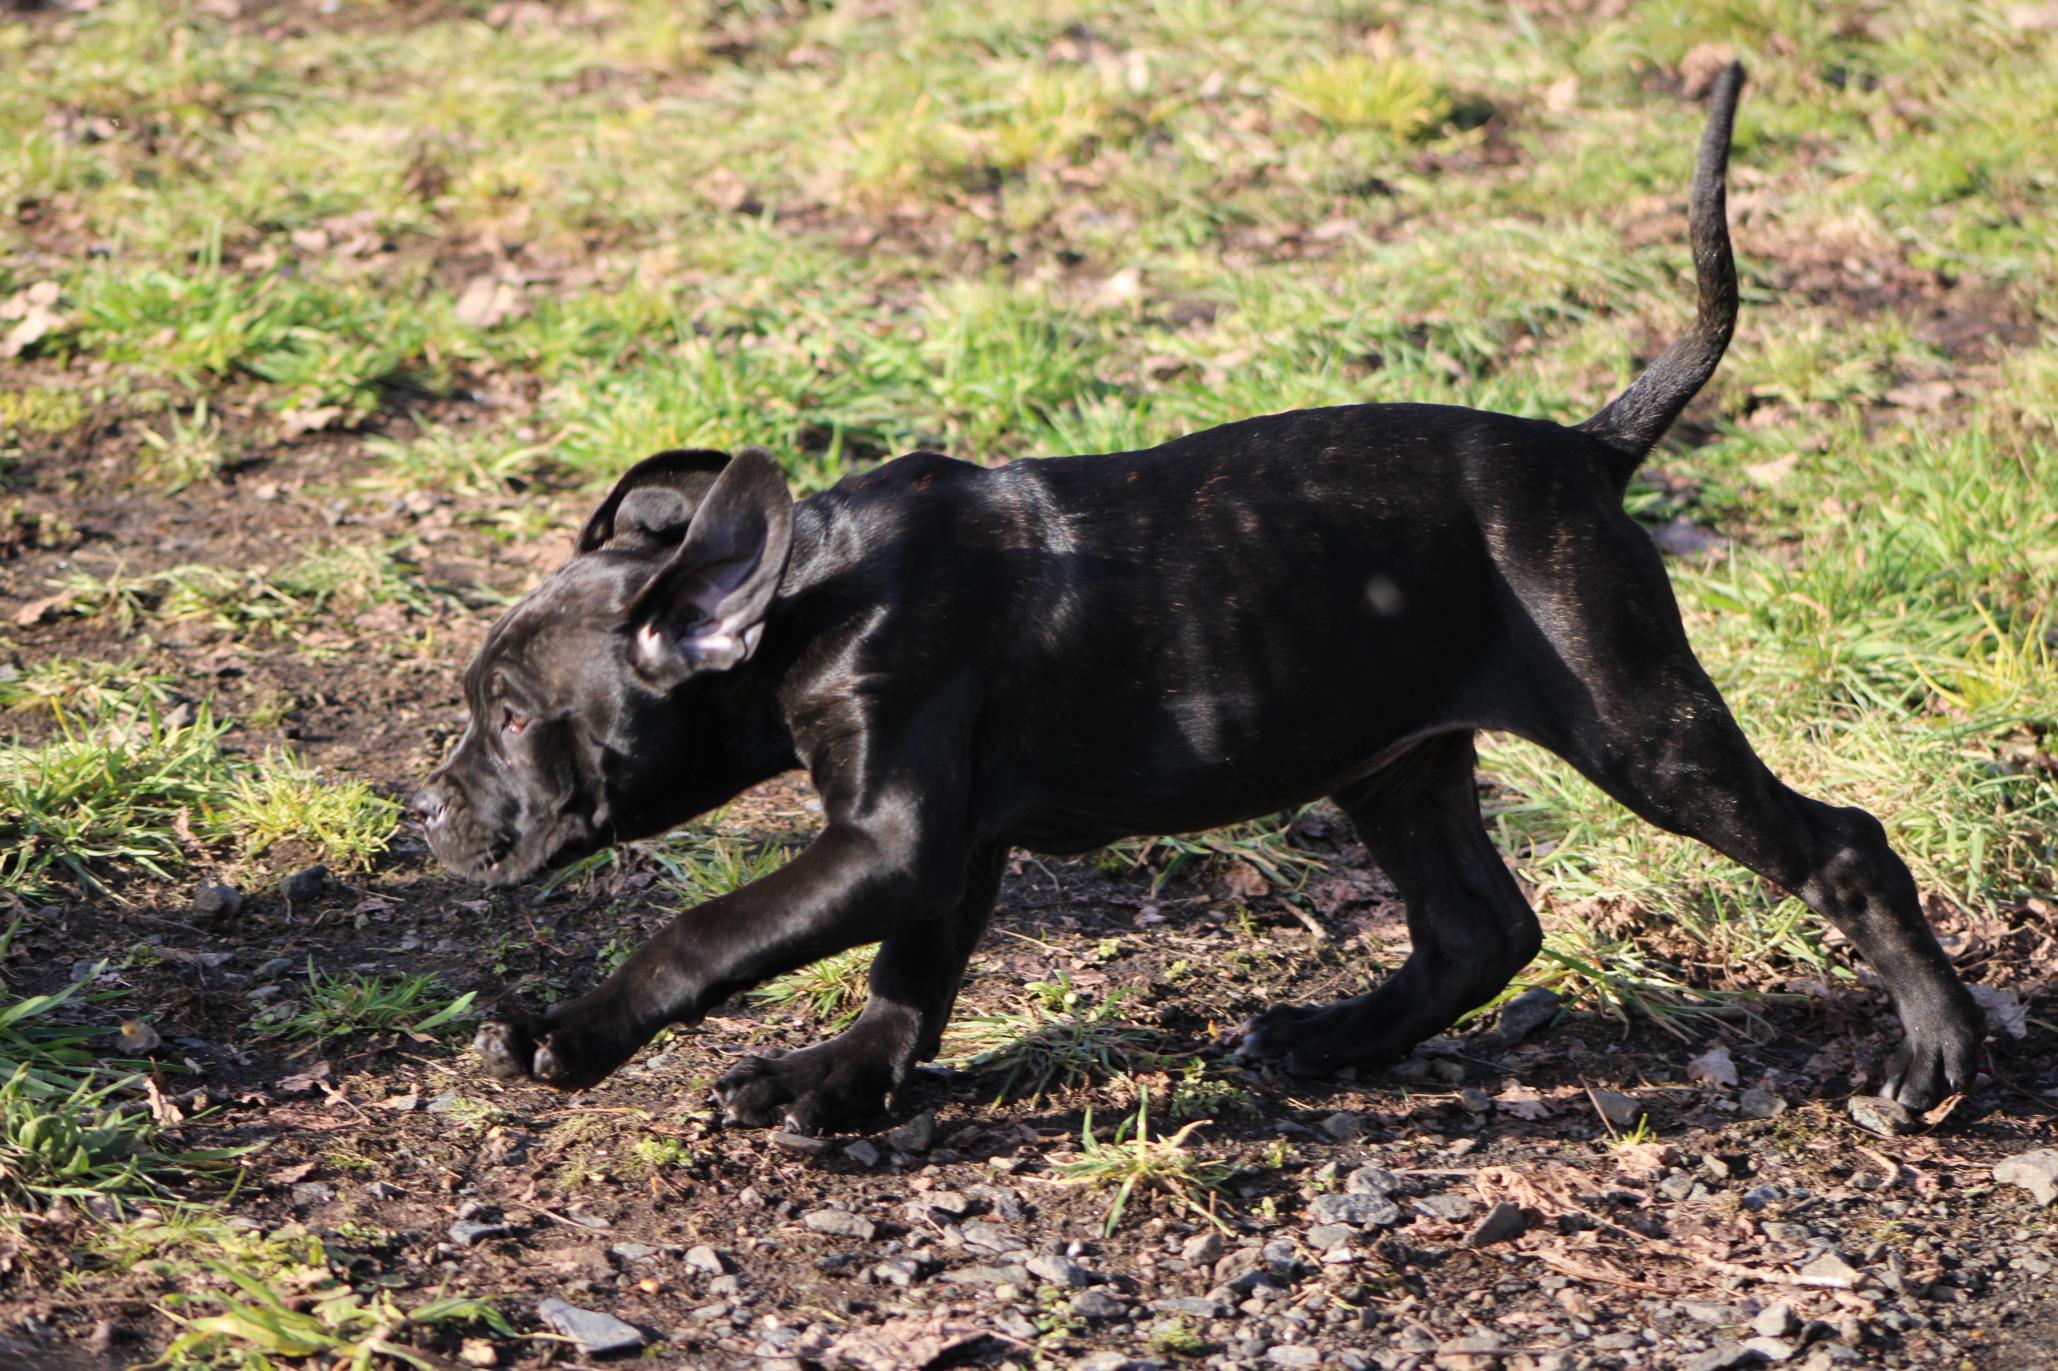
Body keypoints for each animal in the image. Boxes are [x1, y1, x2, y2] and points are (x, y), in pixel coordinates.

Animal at [413, 64, 1975, 1128]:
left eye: (515, 716)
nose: (428, 808)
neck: (809, 592)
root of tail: (1584, 447)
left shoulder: (895, 835)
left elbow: (715, 929)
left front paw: (569, 1035)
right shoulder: (944, 845)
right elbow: (910, 977)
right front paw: (840, 1082)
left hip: (1633, 720)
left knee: (1837, 846)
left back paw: (1938, 1050)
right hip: (1391, 756)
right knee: (1478, 930)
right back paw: (1327, 1041)